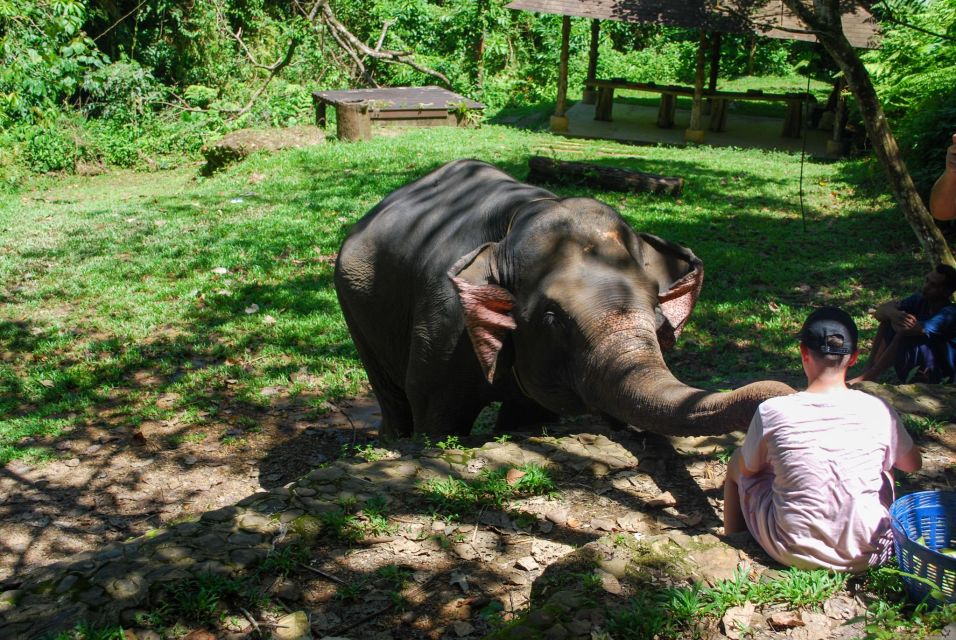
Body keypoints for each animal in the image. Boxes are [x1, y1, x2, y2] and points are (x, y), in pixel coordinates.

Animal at [334, 159, 792, 439]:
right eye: (554, 319)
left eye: (657, 310)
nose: (785, 391)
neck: (526, 214)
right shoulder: (444, 321)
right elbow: (437, 416)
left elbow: (530, 416)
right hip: (352, 296)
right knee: (392, 393)